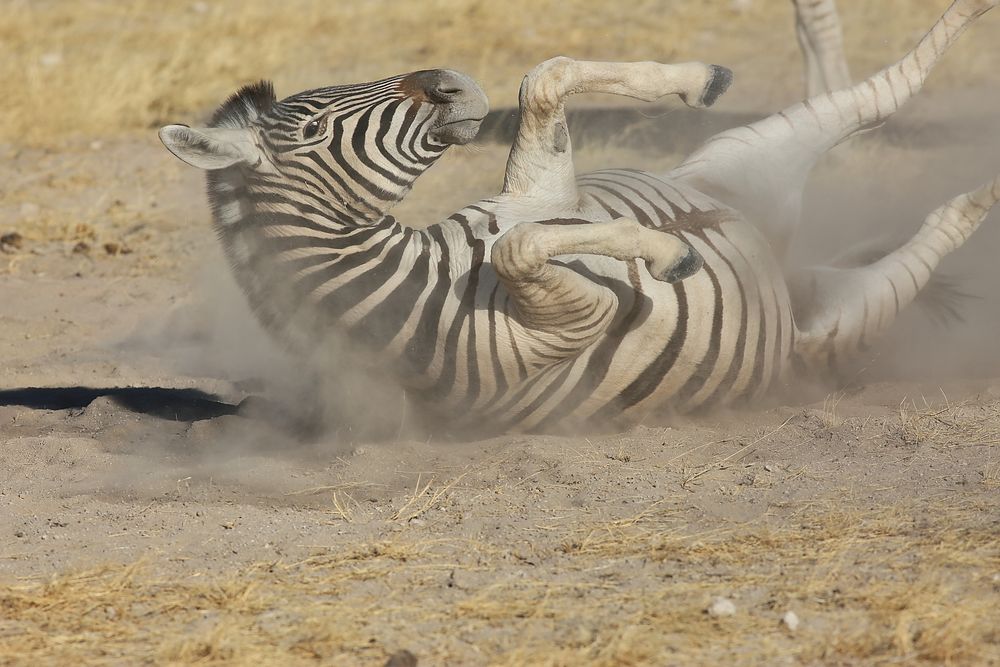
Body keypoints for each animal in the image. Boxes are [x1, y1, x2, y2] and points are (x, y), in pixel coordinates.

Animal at [160, 0, 996, 436]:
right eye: (309, 127)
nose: (451, 81)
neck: (418, 277)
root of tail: (783, 255)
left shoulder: (545, 187)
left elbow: (545, 77)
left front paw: (697, 79)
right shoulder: (567, 317)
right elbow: (523, 248)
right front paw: (661, 251)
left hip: (742, 159)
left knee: (882, 94)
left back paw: (968, 13)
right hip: (830, 321)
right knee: (923, 231)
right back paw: (979, 194)